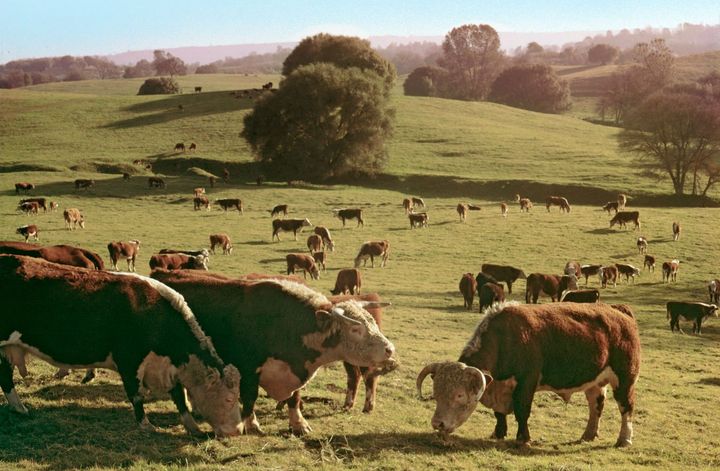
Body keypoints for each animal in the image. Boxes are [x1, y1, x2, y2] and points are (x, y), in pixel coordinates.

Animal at [0, 255, 242, 437]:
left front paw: (193, 428)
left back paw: (18, 407)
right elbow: (136, 395)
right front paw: (146, 425)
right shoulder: (129, 361)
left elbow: (179, 398)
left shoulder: (166, 367)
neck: (154, 314)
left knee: (5, 377)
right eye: (229, 399)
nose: (238, 430)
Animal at [149, 269, 396, 435]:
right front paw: (252, 424)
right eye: (355, 329)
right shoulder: (249, 369)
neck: (287, 323)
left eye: (372, 321)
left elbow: (295, 398)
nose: (389, 349)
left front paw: (299, 424)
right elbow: (250, 397)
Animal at [416, 302, 640, 447]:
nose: (437, 424)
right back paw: (588, 435)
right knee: (596, 406)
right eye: (436, 393)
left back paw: (624, 439)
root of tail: (619, 311)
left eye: (459, 395)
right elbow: (499, 414)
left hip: (625, 379)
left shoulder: (526, 384)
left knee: (626, 407)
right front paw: (498, 433)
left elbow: (522, 411)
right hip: (595, 382)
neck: (505, 339)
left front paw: (523, 438)